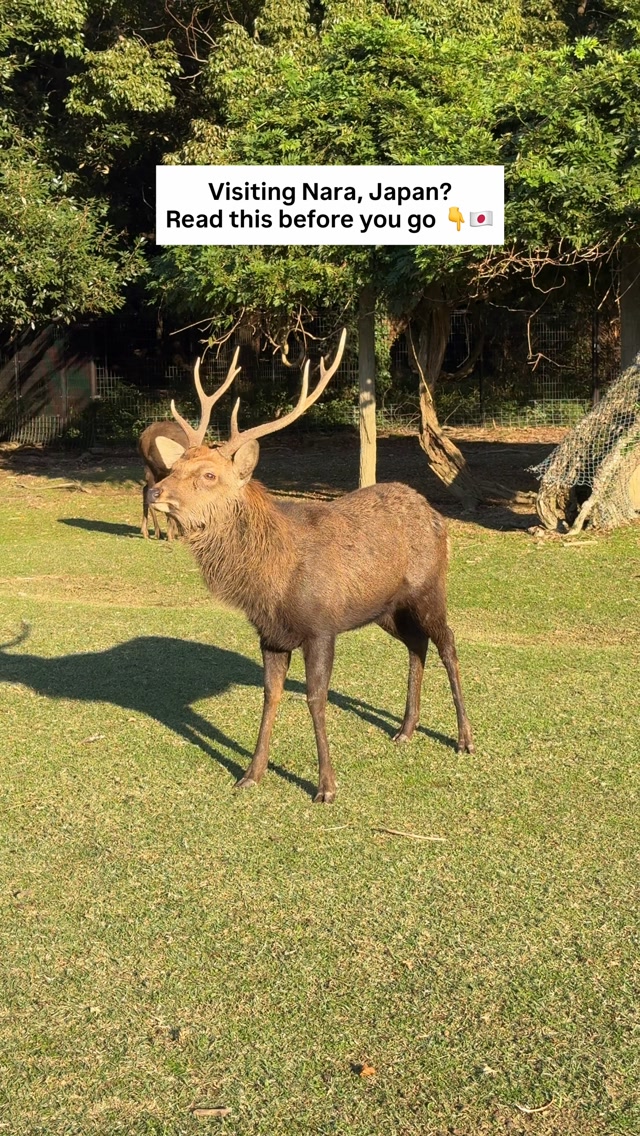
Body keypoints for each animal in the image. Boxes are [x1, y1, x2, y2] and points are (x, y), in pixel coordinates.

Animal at [138, 351, 241, 539]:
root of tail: (142, 436)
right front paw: (173, 533)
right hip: (149, 465)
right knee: (147, 489)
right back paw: (154, 531)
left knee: (145, 489)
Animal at [149, 330, 474, 802]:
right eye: (175, 465)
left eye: (209, 475)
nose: (154, 492)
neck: (272, 581)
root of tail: (435, 513)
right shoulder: (270, 634)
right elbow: (271, 696)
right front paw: (251, 773)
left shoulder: (320, 627)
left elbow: (316, 698)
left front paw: (326, 786)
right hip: (386, 609)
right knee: (417, 644)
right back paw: (405, 729)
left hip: (430, 586)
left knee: (447, 641)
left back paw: (465, 737)